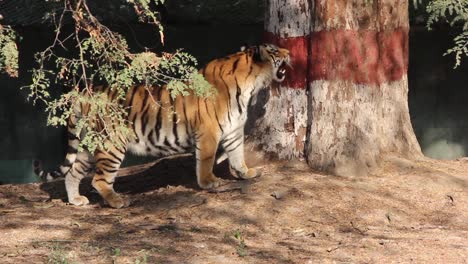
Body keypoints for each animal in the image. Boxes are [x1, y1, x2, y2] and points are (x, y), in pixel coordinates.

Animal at [35, 43, 288, 208]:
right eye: (275, 51)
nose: (289, 52)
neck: (250, 83)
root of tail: (86, 93)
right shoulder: (209, 133)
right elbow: (206, 161)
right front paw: (210, 183)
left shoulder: (234, 130)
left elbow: (237, 154)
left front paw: (246, 173)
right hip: (111, 143)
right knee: (99, 179)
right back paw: (119, 201)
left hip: (89, 144)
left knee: (72, 172)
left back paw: (76, 200)